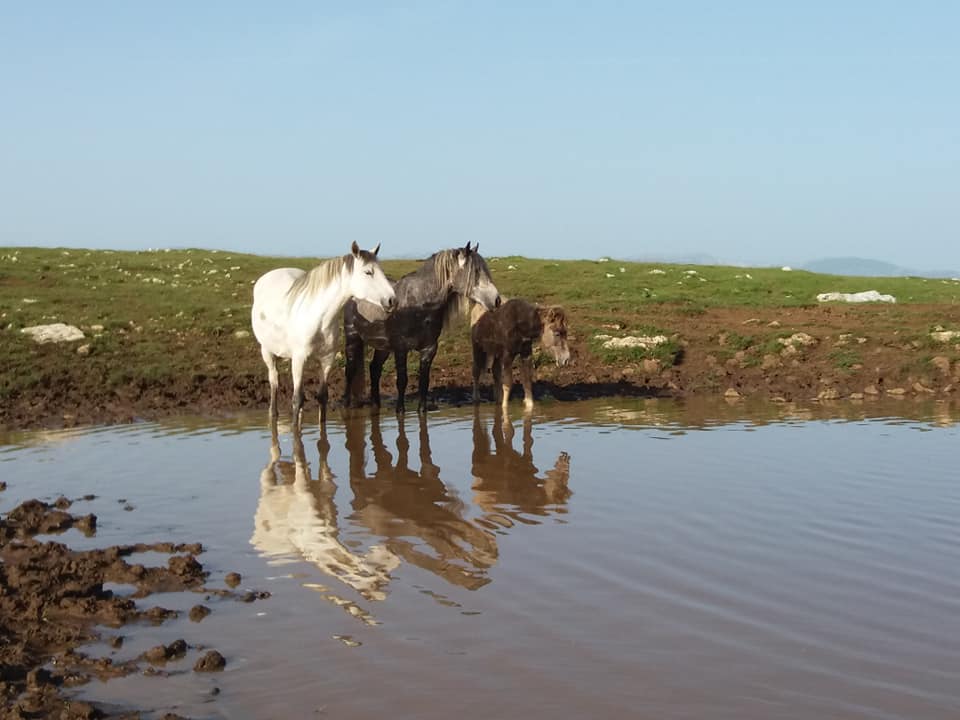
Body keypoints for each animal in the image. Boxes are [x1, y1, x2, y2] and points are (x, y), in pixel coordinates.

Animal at [253, 243, 396, 422]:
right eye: (368, 272)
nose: (392, 300)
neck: (318, 318)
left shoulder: (327, 359)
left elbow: (322, 396)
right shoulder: (298, 359)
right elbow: (297, 399)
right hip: (267, 351)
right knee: (274, 382)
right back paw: (273, 413)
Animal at [342, 242, 498, 414]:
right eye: (475, 272)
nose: (496, 300)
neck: (420, 304)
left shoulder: (428, 349)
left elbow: (424, 382)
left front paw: (422, 409)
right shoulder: (401, 348)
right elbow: (402, 381)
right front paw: (400, 410)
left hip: (383, 346)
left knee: (375, 369)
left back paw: (376, 405)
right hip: (353, 337)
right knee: (350, 370)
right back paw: (346, 403)